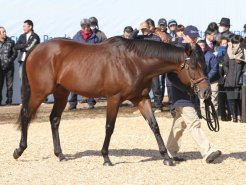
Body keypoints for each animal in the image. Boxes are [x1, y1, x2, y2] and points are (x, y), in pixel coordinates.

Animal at [13, 36, 209, 166]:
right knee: (26, 115)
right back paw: (19, 150)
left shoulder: (142, 98)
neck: (133, 62)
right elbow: (109, 127)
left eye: (204, 65)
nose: (206, 91)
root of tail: (35, 49)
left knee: (54, 119)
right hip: (39, 93)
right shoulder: (114, 99)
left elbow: (154, 126)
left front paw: (166, 157)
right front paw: (106, 157)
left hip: (61, 92)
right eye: (193, 67)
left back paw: (60, 155)